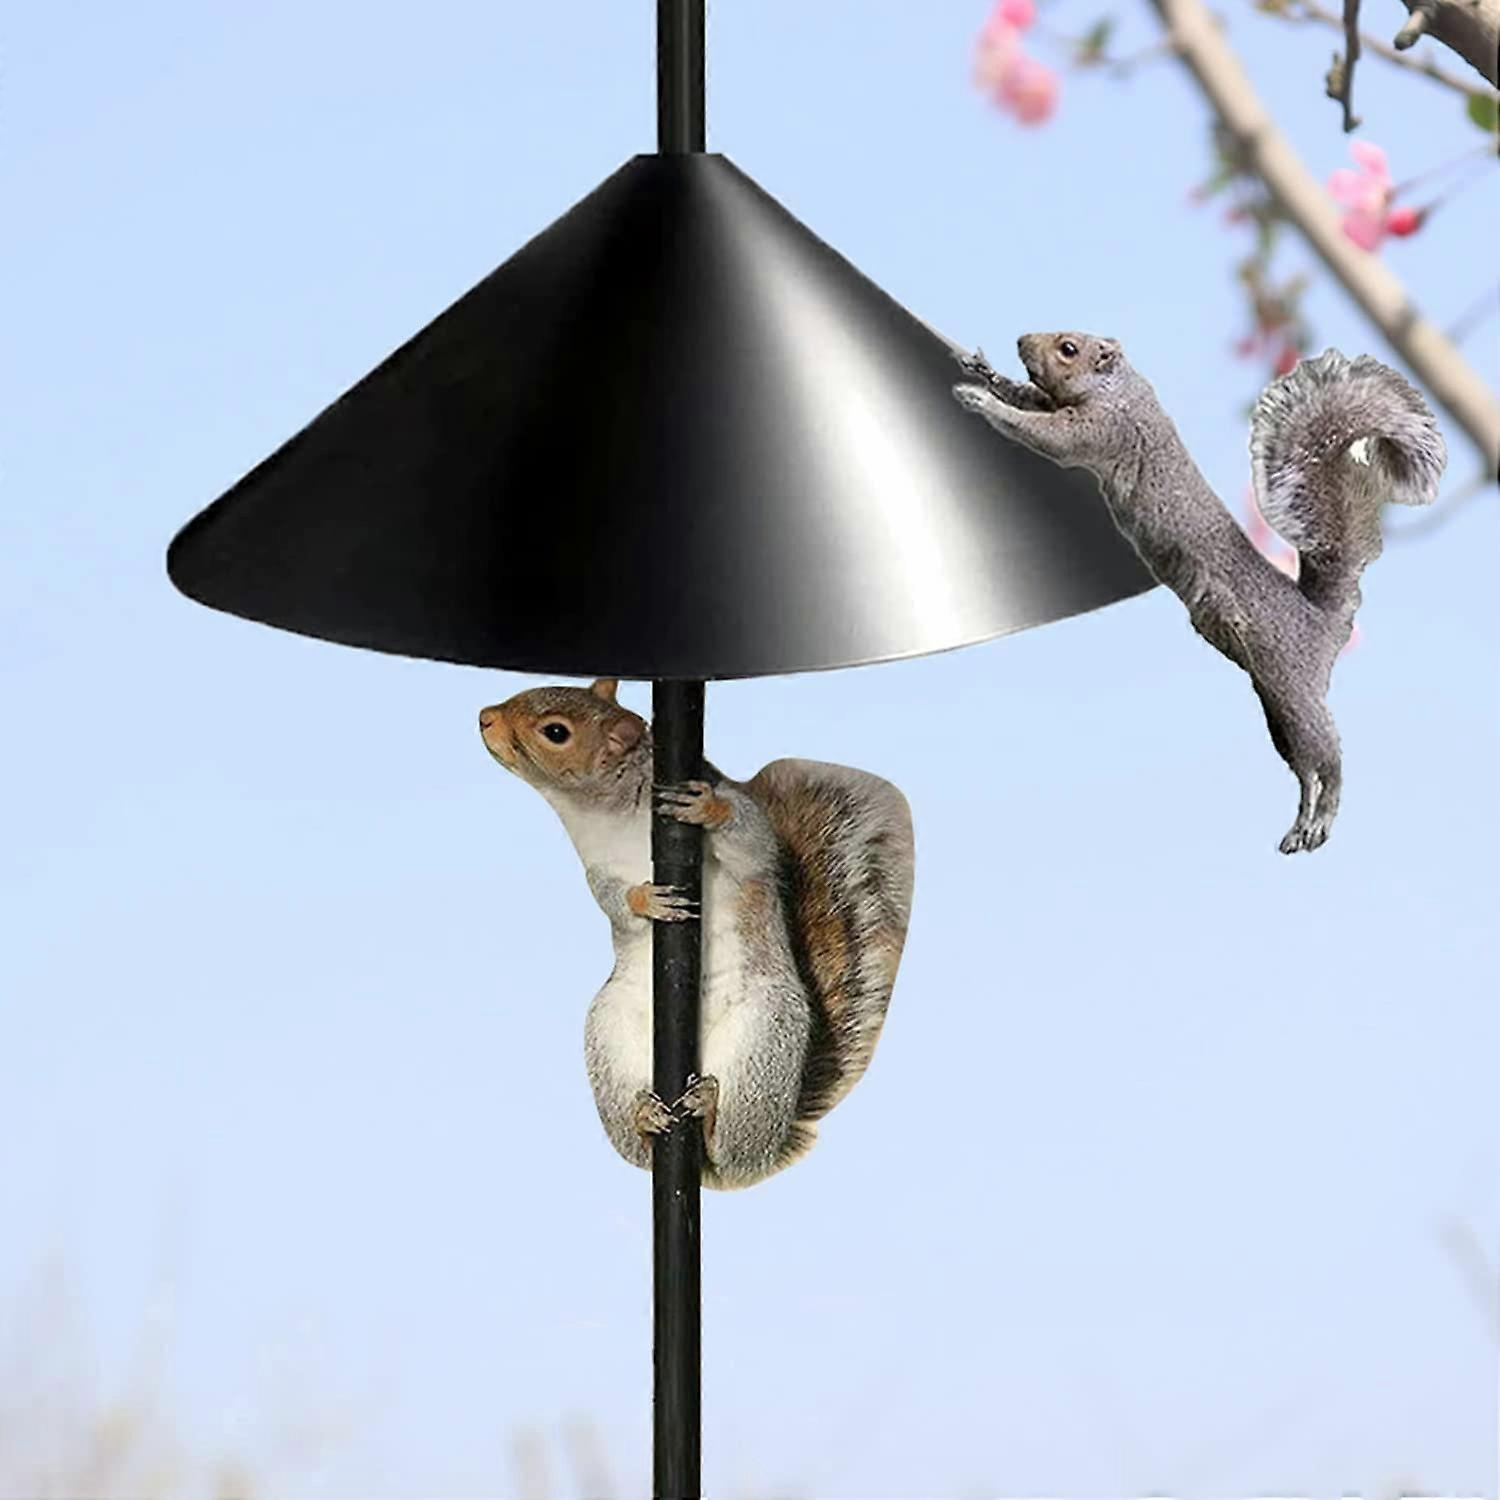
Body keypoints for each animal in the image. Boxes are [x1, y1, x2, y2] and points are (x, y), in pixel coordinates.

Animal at [478, 678, 914, 1188]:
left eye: (555, 732)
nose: (485, 717)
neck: (609, 811)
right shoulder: (598, 869)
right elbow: (611, 899)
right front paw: (645, 902)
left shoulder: (749, 836)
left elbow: (751, 842)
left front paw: (706, 807)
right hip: (609, 1035)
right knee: (641, 1148)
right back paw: (645, 1118)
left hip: (764, 1042)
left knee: (731, 1147)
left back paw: (708, 1114)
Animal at [952, 334, 1446, 853]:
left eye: (1068, 347)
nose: (1021, 340)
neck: (1121, 389)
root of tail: (1321, 621)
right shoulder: (1068, 406)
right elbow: (1029, 398)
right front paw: (983, 371)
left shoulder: (1102, 428)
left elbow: (1042, 432)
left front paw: (979, 399)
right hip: (1276, 707)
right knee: (1304, 768)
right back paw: (1299, 827)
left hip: (1294, 690)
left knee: (1329, 759)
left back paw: (1322, 819)